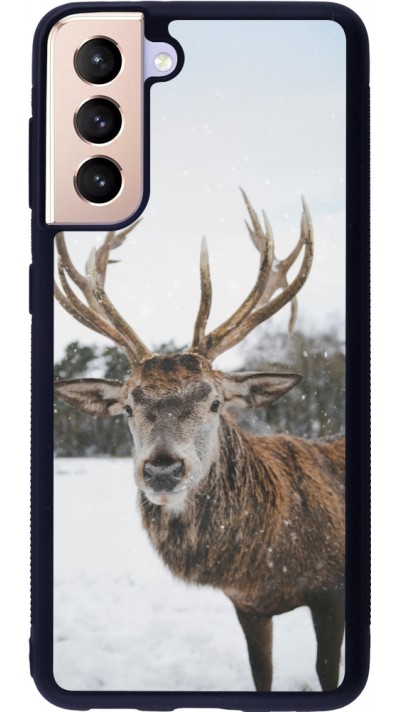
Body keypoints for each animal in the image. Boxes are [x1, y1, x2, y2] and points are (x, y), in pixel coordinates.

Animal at [54, 190, 345, 692]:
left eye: (214, 402)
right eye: (128, 407)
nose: (162, 469)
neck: (267, 564)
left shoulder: (332, 590)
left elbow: (328, 671)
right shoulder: (247, 605)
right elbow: (261, 673)